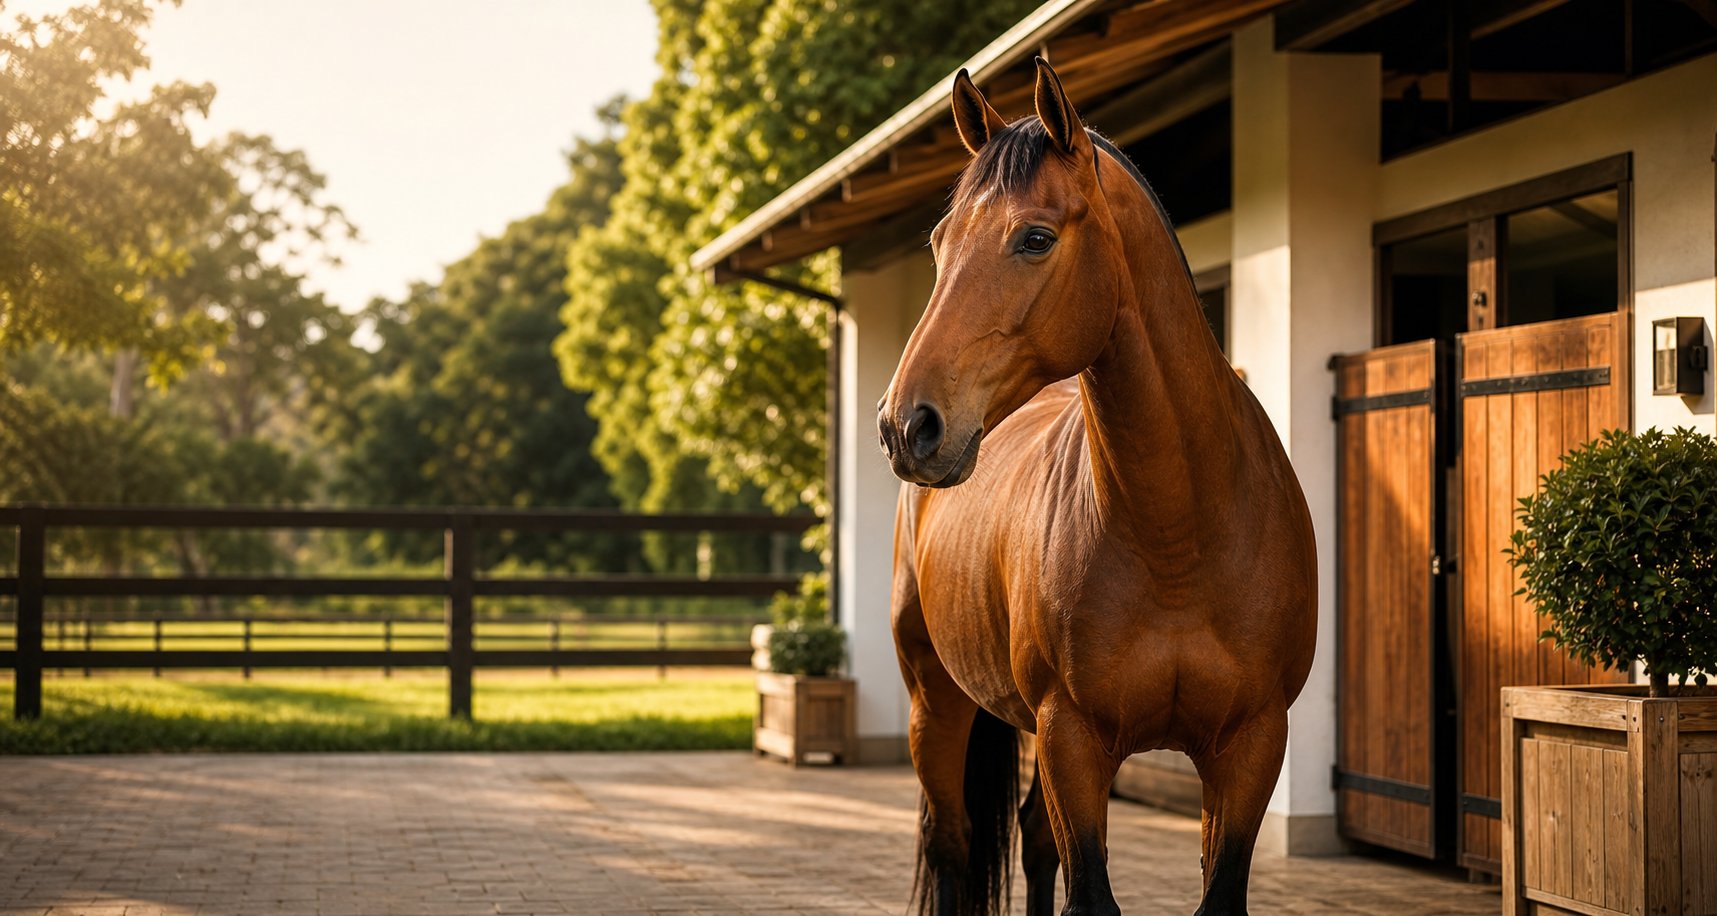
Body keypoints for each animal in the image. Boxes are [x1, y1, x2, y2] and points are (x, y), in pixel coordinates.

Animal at [876, 59, 1318, 916]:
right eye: (940, 243)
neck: (1179, 534)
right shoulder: (1071, 739)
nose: (906, 424)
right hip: (935, 703)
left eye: (1034, 238)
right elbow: (1089, 893)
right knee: (951, 847)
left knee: (1029, 838)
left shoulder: (1250, 745)